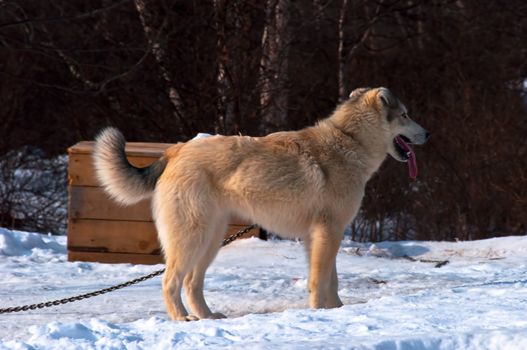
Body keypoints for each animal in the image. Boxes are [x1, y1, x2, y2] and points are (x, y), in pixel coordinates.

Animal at [94, 87, 428, 320]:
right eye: (405, 115)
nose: (428, 133)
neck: (349, 140)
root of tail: (176, 150)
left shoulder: (322, 235)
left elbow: (331, 280)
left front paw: (336, 310)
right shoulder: (327, 233)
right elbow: (321, 281)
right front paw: (321, 312)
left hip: (211, 240)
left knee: (191, 283)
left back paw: (208, 317)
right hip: (192, 239)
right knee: (170, 282)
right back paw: (182, 319)